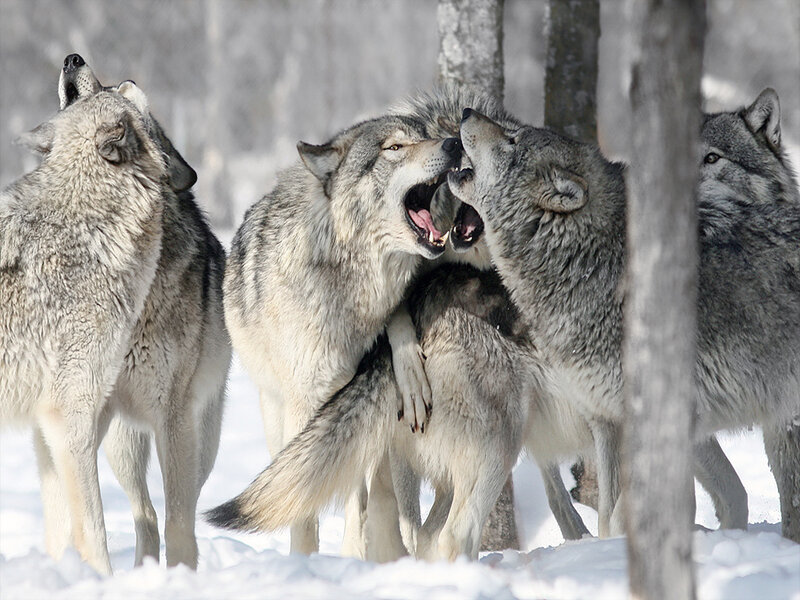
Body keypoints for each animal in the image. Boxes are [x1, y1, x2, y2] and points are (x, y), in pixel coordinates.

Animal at [0, 88, 168, 574]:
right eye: (129, 100)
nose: (126, 80)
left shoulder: (48, 425)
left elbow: (60, 532)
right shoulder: (69, 414)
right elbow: (93, 529)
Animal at [49, 54, 232, 570]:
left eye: (121, 91)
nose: (73, 58)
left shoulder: (173, 418)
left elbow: (180, 522)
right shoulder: (85, 410)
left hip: (200, 439)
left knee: (176, 507)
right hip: (122, 444)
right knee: (143, 512)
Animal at [448, 89, 800, 542]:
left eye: (513, 139)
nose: (466, 112)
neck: (592, 259)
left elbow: (622, 517)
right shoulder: (607, 422)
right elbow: (608, 518)